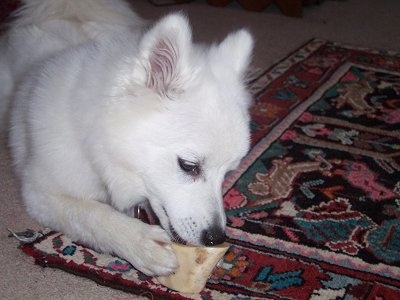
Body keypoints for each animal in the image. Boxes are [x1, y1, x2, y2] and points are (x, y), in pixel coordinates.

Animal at [0, 0, 253, 276]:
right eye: (189, 166)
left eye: (228, 172)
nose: (216, 238)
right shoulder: (41, 193)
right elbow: (92, 213)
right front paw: (142, 243)